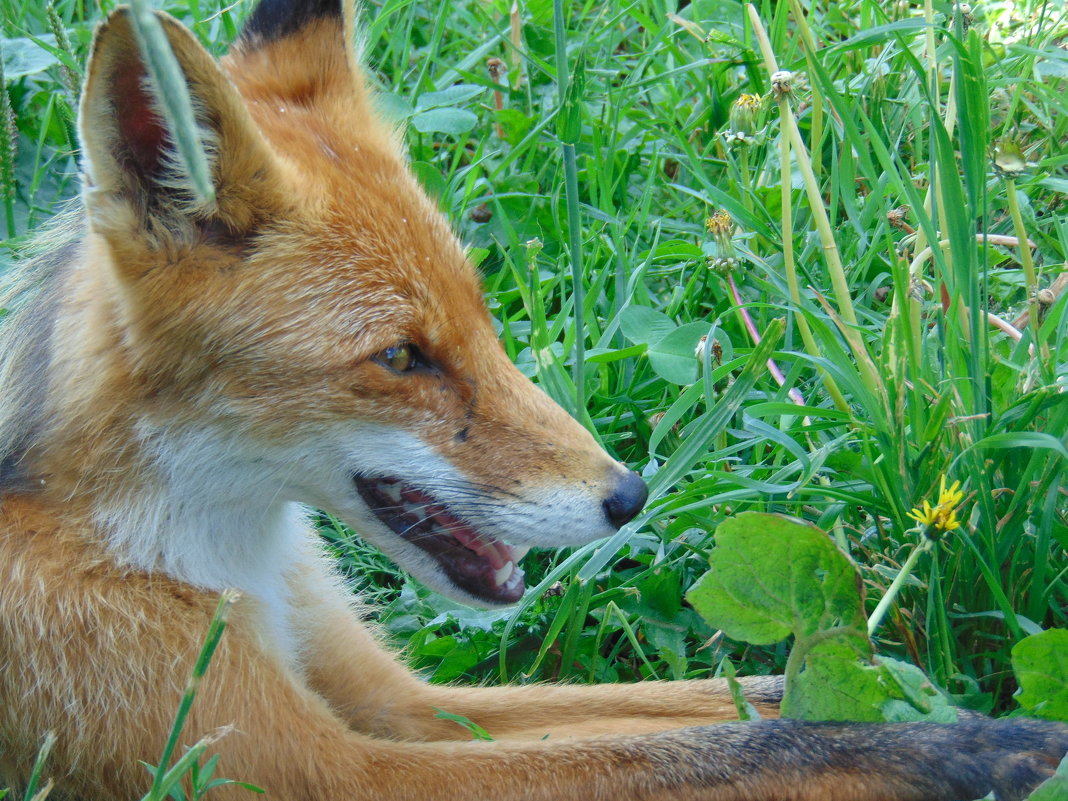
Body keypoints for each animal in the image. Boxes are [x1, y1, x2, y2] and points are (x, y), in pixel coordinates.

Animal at [0, 0, 1063, 798]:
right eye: (402, 356)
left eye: (483, 316)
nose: (629, 496)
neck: (213, 558)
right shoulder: (301, 767)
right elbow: (718, 751)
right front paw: (974, 751)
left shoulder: (398, 700)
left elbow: (739, 701)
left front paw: (937, 700)